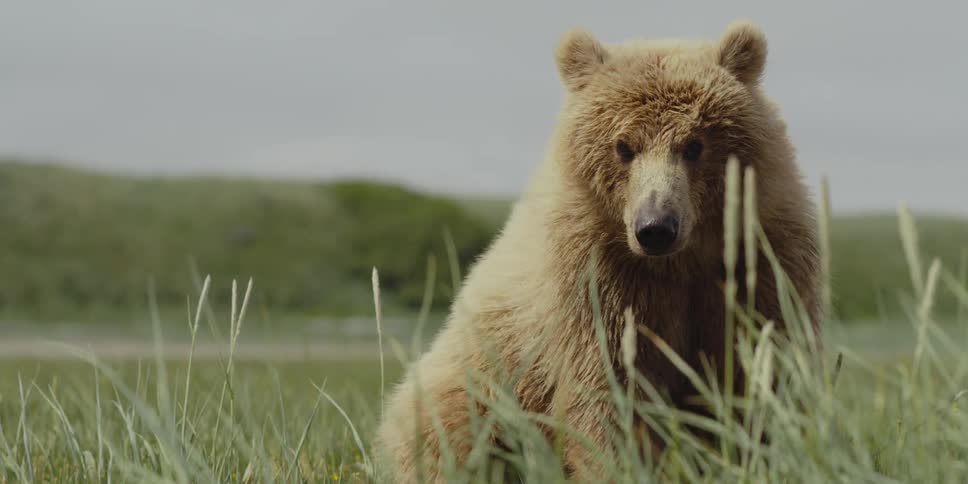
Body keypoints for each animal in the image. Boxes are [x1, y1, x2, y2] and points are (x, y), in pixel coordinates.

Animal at [376, 20, 821, 482]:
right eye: (623, 146)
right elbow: (605, 383)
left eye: (694, 144)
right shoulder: (595, 279)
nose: (655, 228)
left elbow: (761, 367)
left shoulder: (759, 261)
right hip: (479, 372)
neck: (680, 262)